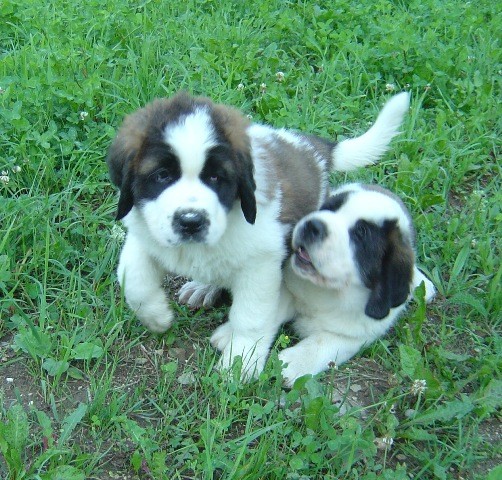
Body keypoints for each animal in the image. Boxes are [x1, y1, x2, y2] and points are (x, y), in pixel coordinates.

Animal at [107, 92, 412, 380]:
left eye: (216, 178)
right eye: (162, 175)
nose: (191, 221)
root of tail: (310, 146)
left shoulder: (261, 266)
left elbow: (251, 317)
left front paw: (239, 363)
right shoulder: (143, 231)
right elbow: (133, 280)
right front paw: (156, 317)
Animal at [278, 183, 436, 386]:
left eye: (361, 233)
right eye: (328, 208)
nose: (312, 224)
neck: (330, 291)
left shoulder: (361, 334)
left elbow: (325, 343)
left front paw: (291, 363)